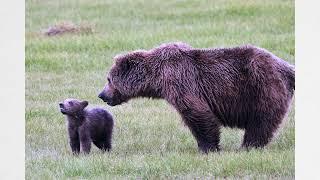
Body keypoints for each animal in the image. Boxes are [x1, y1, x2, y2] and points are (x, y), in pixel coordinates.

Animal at [98, 42, 296, 153]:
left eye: (108, 79)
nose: (101, 95)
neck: (157, 78)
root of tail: (284, 65)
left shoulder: (181, 81)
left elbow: (197, 113)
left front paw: (207, 147)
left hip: (262, 87)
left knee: (261, 121)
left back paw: (249, 146)